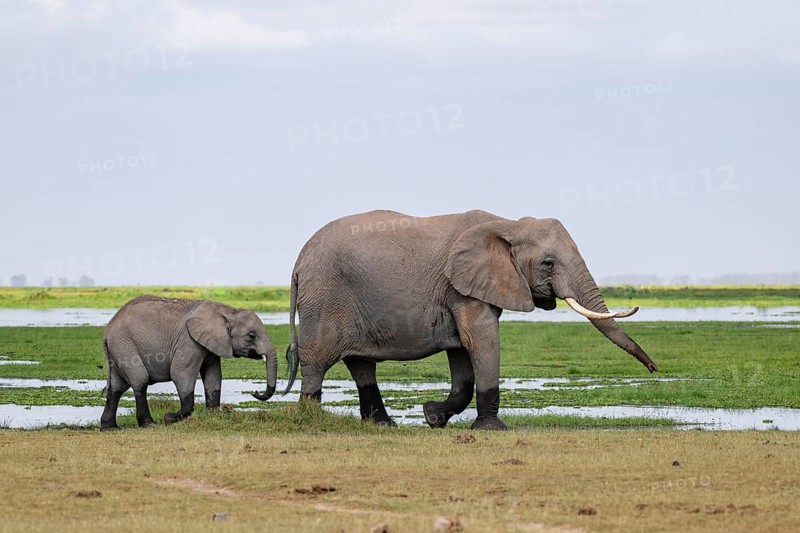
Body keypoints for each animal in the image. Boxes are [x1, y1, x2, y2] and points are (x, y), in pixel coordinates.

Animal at [100, 295, 277, 431]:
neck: (227, 310)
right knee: (140, 381)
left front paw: (213, 417)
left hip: (118, 349)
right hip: (125, 345)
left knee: (116, 388)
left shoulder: (211, 344)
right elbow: (180, 373)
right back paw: (150, 425)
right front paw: (169, 418)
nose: (255, 392)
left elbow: (213, 376)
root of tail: (107, 332)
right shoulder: (189, 342)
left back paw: (110, 428)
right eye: (252, 336)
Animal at [281, 210, 657, 430]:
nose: (654, 369)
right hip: (325, 299)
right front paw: (491, 430)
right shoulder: (462, 287)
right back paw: (310, 418)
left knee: (361, 364)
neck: (508, 225)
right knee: (317, 363)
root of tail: (298, 261)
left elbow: (462, 351)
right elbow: (482, 340)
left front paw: (433, 416)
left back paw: (383, 426)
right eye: (548, 264)